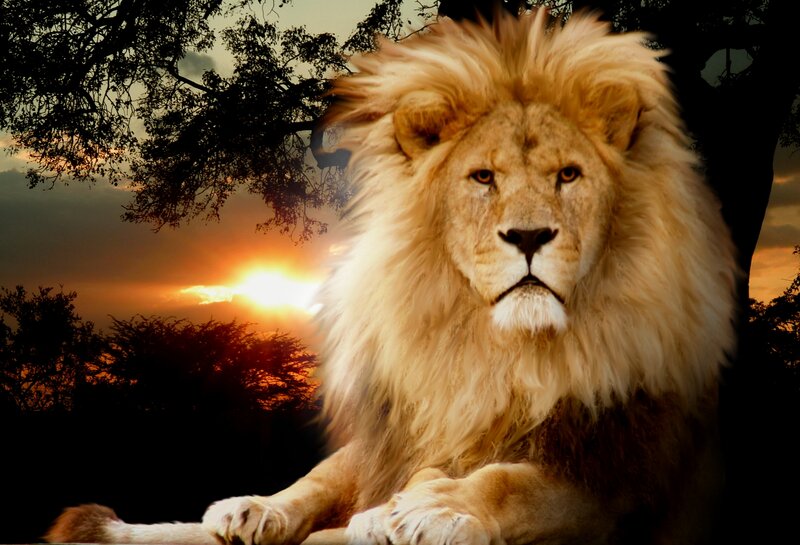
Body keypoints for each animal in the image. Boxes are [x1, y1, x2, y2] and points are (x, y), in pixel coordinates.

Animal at [46, 10, 737, 545]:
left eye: (569, 175)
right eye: (483, 177)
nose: (528, 237)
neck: (499, 351)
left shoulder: (620, 474)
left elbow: (511, 481)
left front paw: (432, 508)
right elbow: (350, 474)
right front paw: (291, 509)